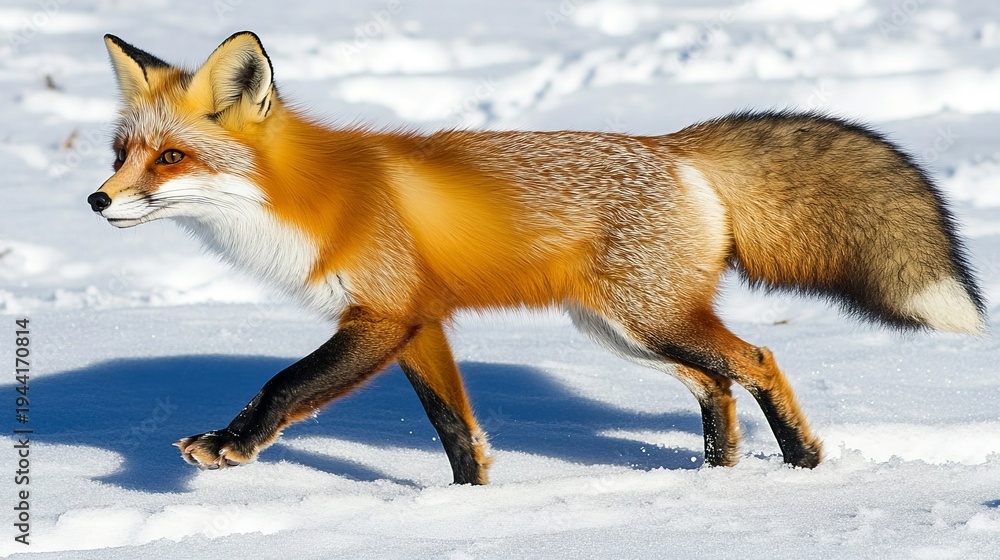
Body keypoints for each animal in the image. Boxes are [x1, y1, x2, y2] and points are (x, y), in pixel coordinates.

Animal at [88, 31, 985, 484]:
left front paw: (230, 445)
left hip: (651, 320)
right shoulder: (418, 326)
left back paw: (802, 467)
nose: (96, 202)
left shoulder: (381, 316)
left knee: (757, 360)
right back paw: (716, 480)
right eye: (121, 153)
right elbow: (458, 432)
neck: (306, 201)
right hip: (624, 333)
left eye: (171, 158)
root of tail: (675, 147)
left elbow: (284, 382)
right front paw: (470, 507)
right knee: (718, 384)